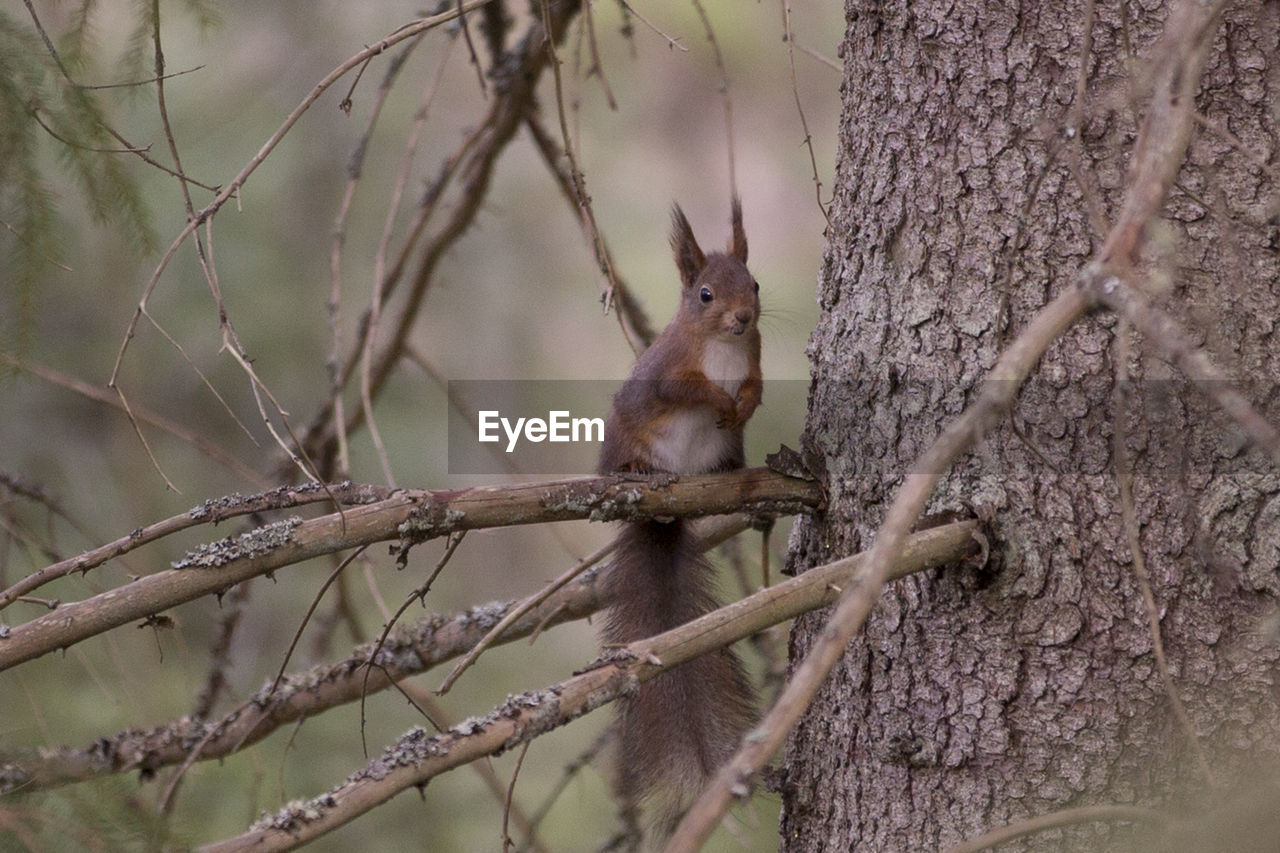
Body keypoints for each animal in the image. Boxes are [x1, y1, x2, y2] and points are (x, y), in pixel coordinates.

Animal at [596, 195, 762, 835]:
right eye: (706, 294)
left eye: (755, 284)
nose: (744, 318)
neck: (723, 348)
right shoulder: (670, 371)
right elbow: (685, 390)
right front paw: (718, 398)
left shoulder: (755, 357)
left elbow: (756, 385)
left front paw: (746, 401)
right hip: (626, 439)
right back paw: (639, 474)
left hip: (724, 450)